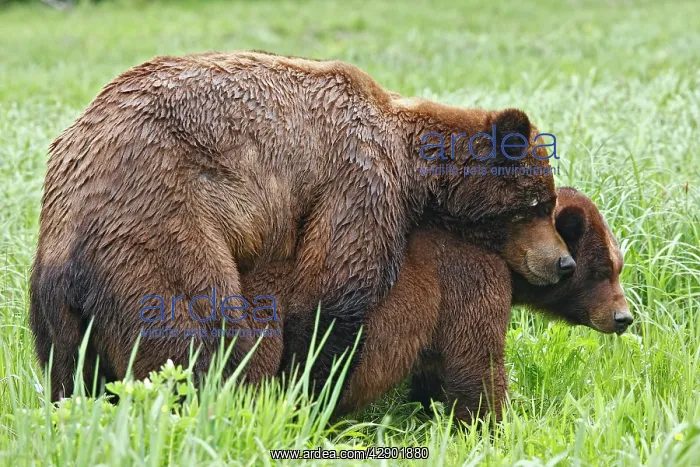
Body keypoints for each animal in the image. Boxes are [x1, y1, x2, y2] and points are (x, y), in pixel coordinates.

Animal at [30, 51, 571, 401]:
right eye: (536, 205)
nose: (562, 262)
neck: (413, 160)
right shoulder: (360, 178)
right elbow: (333, 290)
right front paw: (310, 384)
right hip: (159, 220)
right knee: (197, 334)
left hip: (52, 297)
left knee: (68, 371)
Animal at [336, 187, 632, 422]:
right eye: (601, 271)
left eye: (619, 267)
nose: (623, 317)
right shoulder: (468, 275)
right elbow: (477, 360)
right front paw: (491, 425)